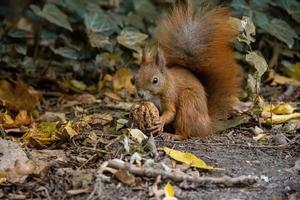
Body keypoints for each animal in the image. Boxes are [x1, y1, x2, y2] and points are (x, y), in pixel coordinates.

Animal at [135, 0, 243, 141]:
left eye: (155, 80)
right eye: (135, 77)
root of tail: (206, 126)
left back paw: (173, 135)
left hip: (188, 104)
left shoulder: (171, 95)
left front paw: (160, 121)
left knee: (185, 132)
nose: (141, 94)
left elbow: (171, 112)